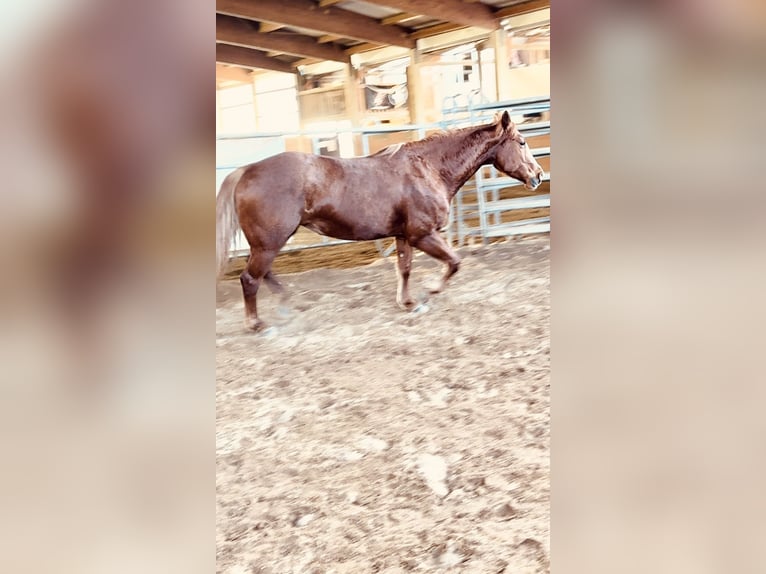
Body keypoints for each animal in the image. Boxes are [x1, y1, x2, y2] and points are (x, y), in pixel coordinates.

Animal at [216, 109, 544, 330]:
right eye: (522, 142)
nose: (538, 175)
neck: (429, 169)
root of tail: (246, 171)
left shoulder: (403, 235)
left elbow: (405, 269)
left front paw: (408, 303)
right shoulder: (423, 234)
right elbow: (454, 262)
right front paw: (430, 291)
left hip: (269, 242)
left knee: (264, 274)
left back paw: (287, 304)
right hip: (270, 241)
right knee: (250, 278)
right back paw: (256, 324)